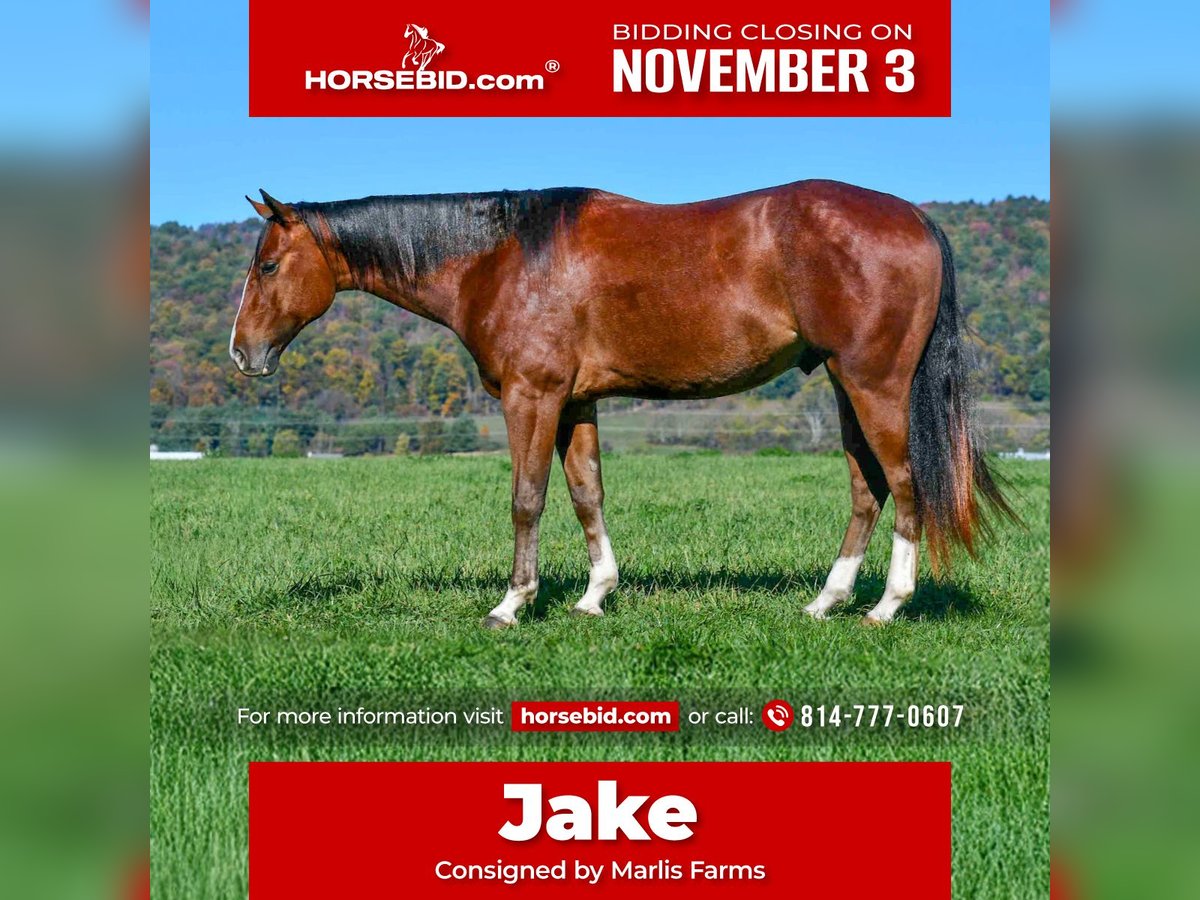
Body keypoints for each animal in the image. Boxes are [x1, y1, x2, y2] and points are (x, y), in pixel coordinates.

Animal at [231, 181, 1013, 628]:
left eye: (267, 265)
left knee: (905, 484)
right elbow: (587, 495)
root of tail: (915, 219)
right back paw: (826, 601)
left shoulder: (533, 395)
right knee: (867, 488)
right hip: (844, 385)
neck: (503, 257)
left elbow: (527, 498)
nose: (242, 353)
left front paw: (513, 604)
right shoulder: (577, 403)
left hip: (874, 384)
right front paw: (594, 595)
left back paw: (886, 606)